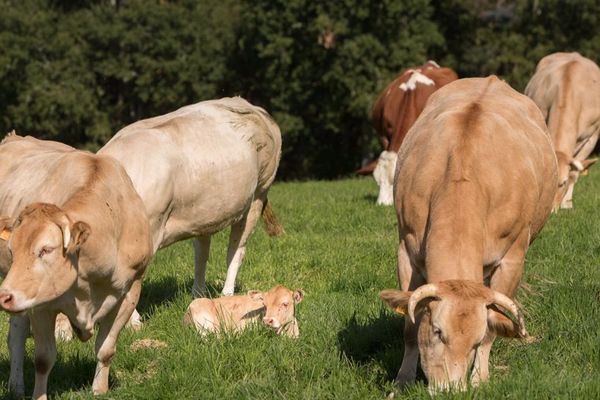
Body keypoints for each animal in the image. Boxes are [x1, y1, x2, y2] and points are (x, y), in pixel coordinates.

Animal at [0, 133, 152, 398]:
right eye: (12, 250)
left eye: (46, 249)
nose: (5, 296)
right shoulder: (41, 305)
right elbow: (43, 359)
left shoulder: (131, 291)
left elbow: (106, 349)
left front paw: (99, 390)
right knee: (16, 338)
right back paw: (17, 387)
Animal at [99, 97, 284, 298]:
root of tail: (247, 104)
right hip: (205, 209)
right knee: (202, 250)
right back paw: (198, 293)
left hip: (259, 194)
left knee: (236, 249)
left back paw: (227, 293)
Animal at [380, 76, 556, 392]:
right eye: (437, 331)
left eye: (474, 342)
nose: (450, 390)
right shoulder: (405, 249)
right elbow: (410, 326)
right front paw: (403, 379)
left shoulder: (512, 259)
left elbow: (493, 325)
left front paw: (479, 378)